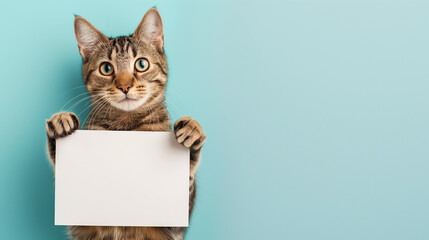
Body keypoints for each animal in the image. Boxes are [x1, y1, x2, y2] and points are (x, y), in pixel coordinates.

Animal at [45, 7, 206, 240]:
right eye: (106, 68)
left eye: (141, 64)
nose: (124, 86)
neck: (126, 126)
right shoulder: (78, 217)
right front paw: (60, 121)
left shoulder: (174, 225)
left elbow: (187, 180)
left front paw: (192, 130)